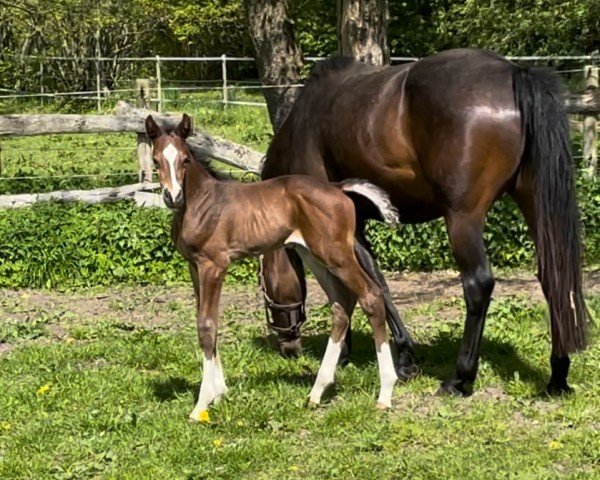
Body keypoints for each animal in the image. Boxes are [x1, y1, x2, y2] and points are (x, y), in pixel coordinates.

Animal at [144, 113, 404, 420]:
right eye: (156, 159)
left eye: (185, 159)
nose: (172, 197)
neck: (202, 203)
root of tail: (338, 188)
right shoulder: (194, 267)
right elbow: (208, 321)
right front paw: (221, 393)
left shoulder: (213, 265)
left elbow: (206, 325)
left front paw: (202, 403)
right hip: (313, 255)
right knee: (342, 304)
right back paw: (316, 392)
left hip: (336, 253)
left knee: (371, 295)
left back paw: (384, 394)